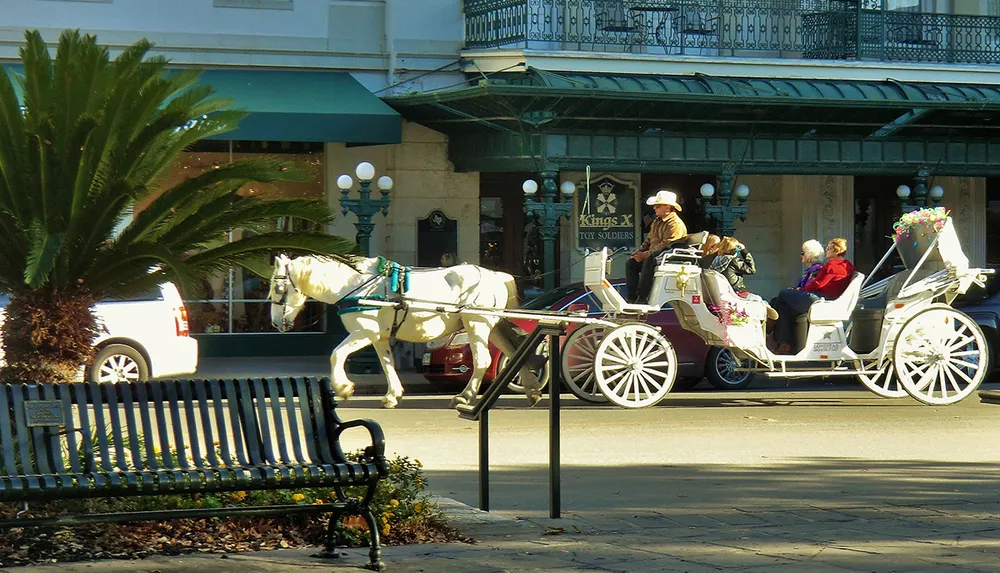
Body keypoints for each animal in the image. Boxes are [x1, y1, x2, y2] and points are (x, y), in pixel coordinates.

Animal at [270, 254, 544, 406]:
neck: (356, 285)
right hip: (491, 324)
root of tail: (494, 275)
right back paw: (532, 391)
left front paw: (343, 387)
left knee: (483, 360)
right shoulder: (378, 336)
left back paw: (465, 396)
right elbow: (386, 364)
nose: (274, 323)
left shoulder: (364, 332)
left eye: (278, 289)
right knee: (513, 352)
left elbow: (336, 354)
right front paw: (393, 395)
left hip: (476, 323)